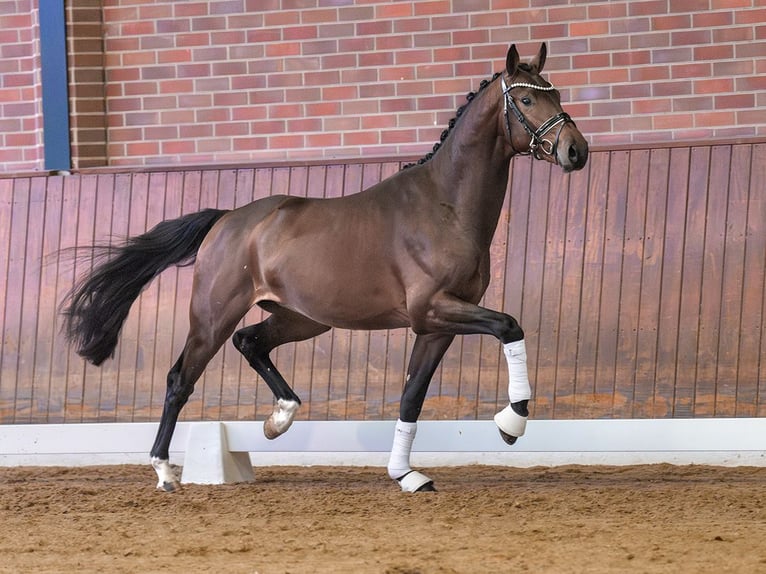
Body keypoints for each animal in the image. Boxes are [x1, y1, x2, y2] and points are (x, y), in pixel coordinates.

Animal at [63, 44, 592, 496]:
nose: (576, 151)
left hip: (302, 318)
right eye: (526, 97)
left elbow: (412, 396)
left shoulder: (437, 325)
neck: (445, 206)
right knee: (180, 380)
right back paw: (164, 470)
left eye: (558, 93)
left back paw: (279, 418)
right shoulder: (434, 310)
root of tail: (227, 219)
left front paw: (406, 475)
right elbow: (509, 326)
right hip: (213, 318)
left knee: (250, 342)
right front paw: (512, 422)